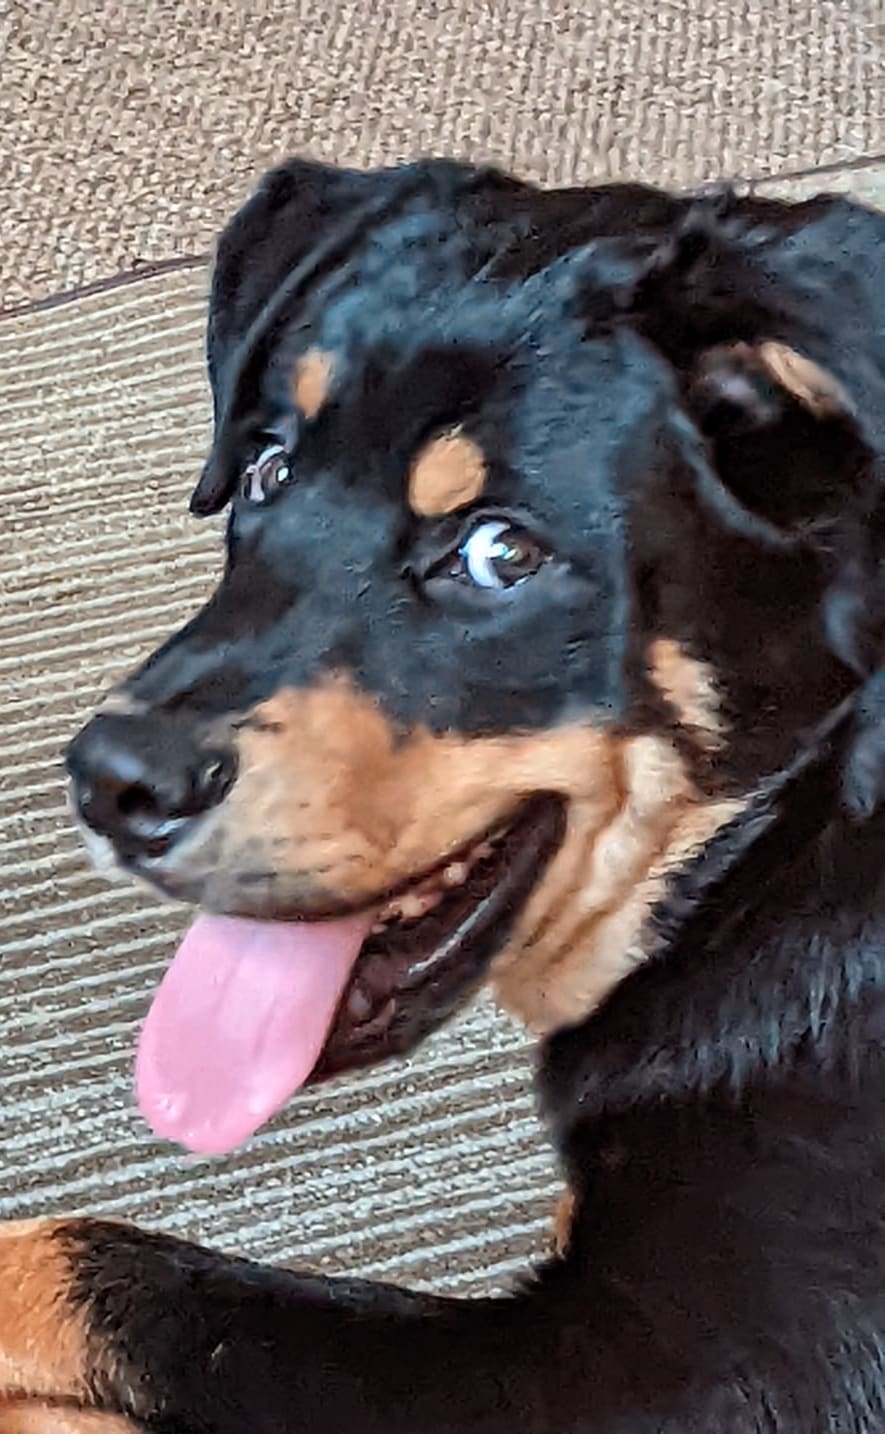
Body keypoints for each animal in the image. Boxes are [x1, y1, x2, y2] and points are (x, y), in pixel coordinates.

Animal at [1, 157, 884, 1432]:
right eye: (266, 468)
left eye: (500, 555)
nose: (111, 782)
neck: (793, 844)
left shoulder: (713, 1368)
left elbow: (92, 1268)